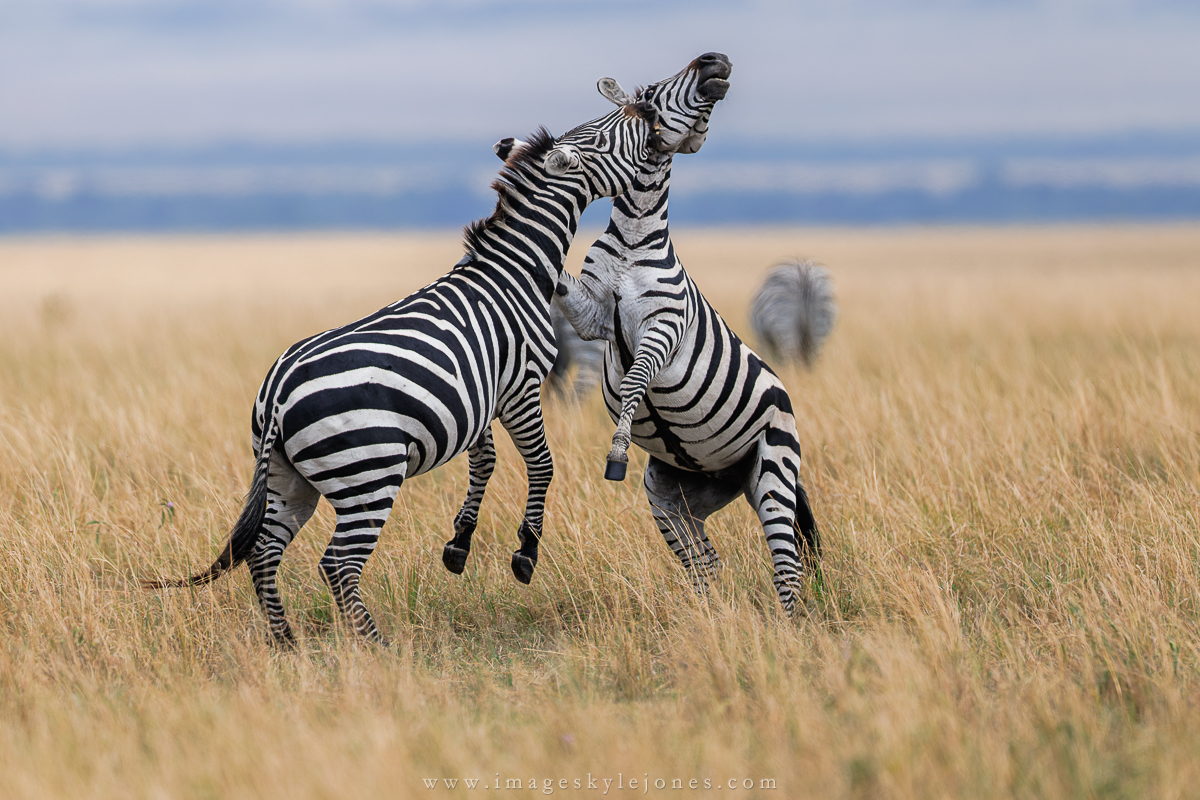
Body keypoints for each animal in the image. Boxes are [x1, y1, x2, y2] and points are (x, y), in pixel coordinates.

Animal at [144, 57, 724, 646]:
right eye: (609, 131)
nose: (649, 113)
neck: (516, 269)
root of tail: (279, 394)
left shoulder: (480, 396)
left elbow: (485, 461)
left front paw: (460, 545)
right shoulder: (521, 387)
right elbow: (541, 464)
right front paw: (524, 554)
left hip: (291, 477)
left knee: (265, 551)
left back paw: (287, 645)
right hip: (368, 473)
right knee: (337, 563)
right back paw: (376, 647)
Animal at [551, 58, 821, 614]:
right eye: (651, 94)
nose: (716, 61)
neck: (634, 242)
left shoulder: (664, 327)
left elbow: (634, 382)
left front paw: (617, 449)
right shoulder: (590, 318)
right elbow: (564, 283)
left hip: (773, 469)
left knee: (787, 568)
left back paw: (789, 627)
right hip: (674, 494)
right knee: (705, 565)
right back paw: (714, 620)